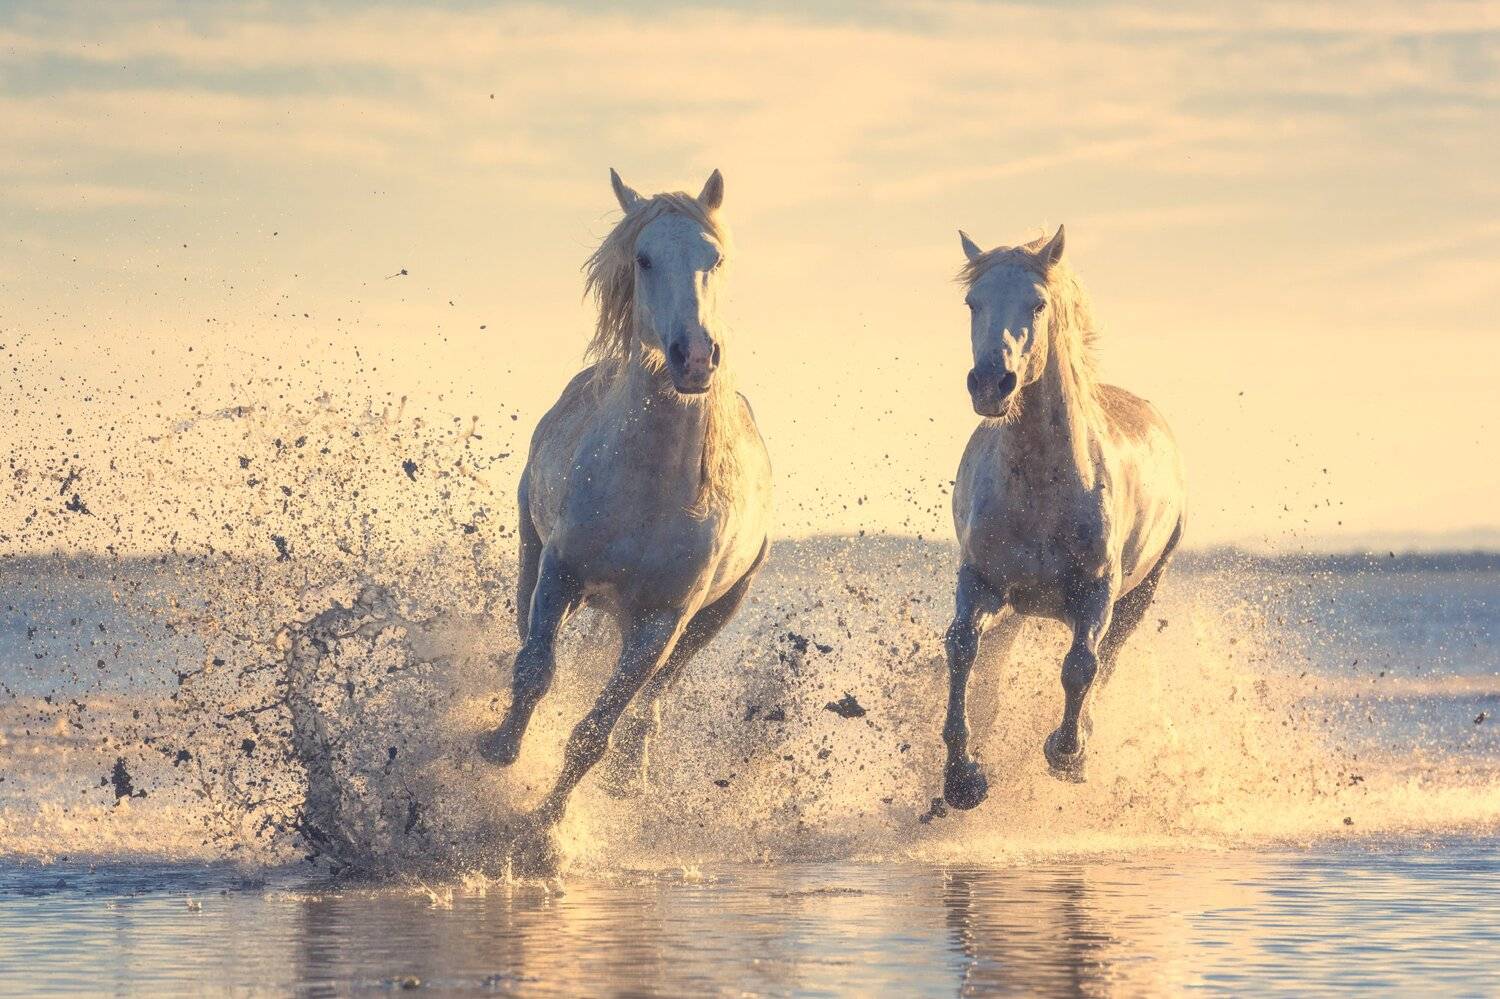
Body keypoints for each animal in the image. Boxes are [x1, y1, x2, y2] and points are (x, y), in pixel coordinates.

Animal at [477, 169, 773, 835]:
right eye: (644, 258)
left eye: (715, 258)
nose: (695, 357)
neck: (650, 489)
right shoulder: (561, 572)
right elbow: (535, 671)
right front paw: (501, 748)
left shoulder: (662, 620)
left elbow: (596, 730)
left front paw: (544, 830)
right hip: (532, 550)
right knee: (526, 635)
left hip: (714, 615)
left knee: (656, 696)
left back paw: (630, 772)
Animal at [938, 224, 1186, 810]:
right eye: (972, 302)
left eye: (1038, 303)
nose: (991, 383)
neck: (1041, 491)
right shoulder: (980, 581)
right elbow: (962, 649)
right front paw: (962, 777)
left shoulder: (1096, 590)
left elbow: (1080, 667)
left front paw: (1066, 753)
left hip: (1142, 592)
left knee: (1108, 659)